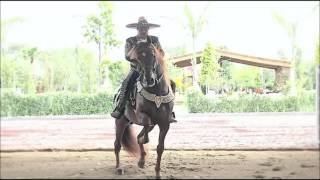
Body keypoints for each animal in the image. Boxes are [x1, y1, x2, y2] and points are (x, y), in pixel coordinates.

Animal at [114, 41, 175, 179]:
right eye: (136, 59)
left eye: (153, 55)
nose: (149, 80)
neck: (157, 92)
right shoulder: (142, 115)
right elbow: (145, 133)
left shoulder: (164, 124)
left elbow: (160, 148)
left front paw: (157, 173)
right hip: (120, 121)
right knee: (117, 145)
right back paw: (119, 167)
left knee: (138, 136)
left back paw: (141, 162)